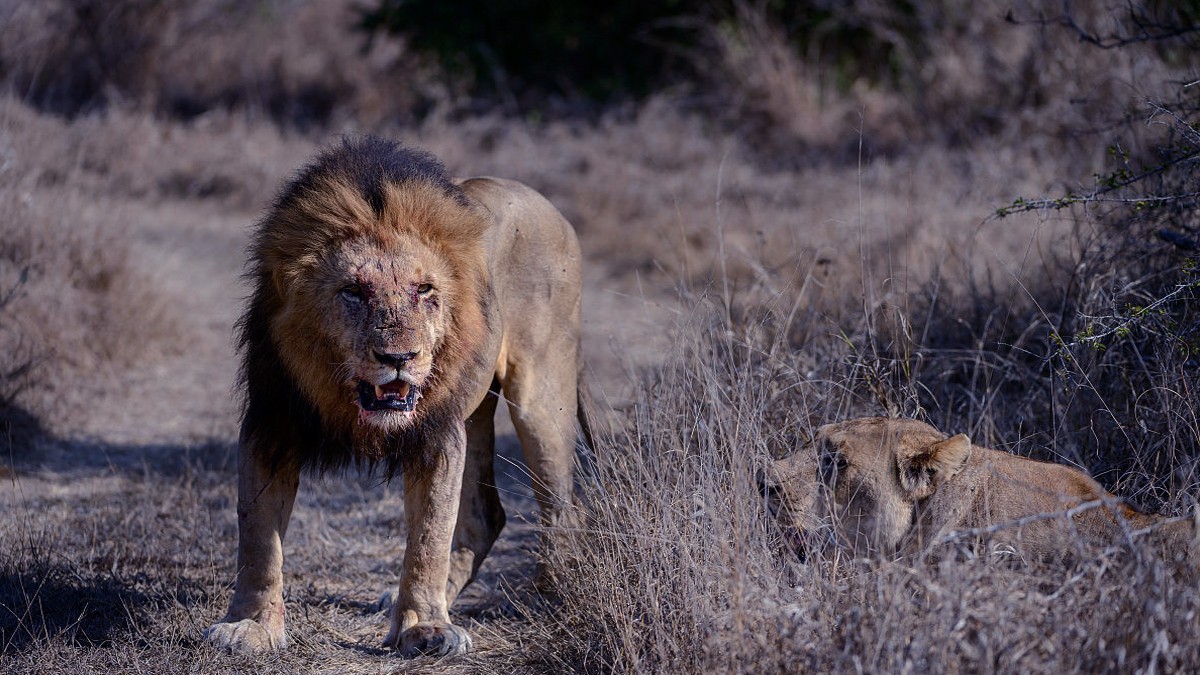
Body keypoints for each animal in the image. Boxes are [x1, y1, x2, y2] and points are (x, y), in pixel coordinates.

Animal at [207, 138, 590, 658]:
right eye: (353, 291)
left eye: (424, 289)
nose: (399, 357)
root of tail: (552, 209)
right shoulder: (271, 422)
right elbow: (258, 543)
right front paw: (250, 625)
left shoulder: (436, 431)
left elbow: (429, 535)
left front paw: (425, 627)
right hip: (475, 411)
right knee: (484, 514)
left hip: (540, 396)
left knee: (560, 504)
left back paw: (551, 596)